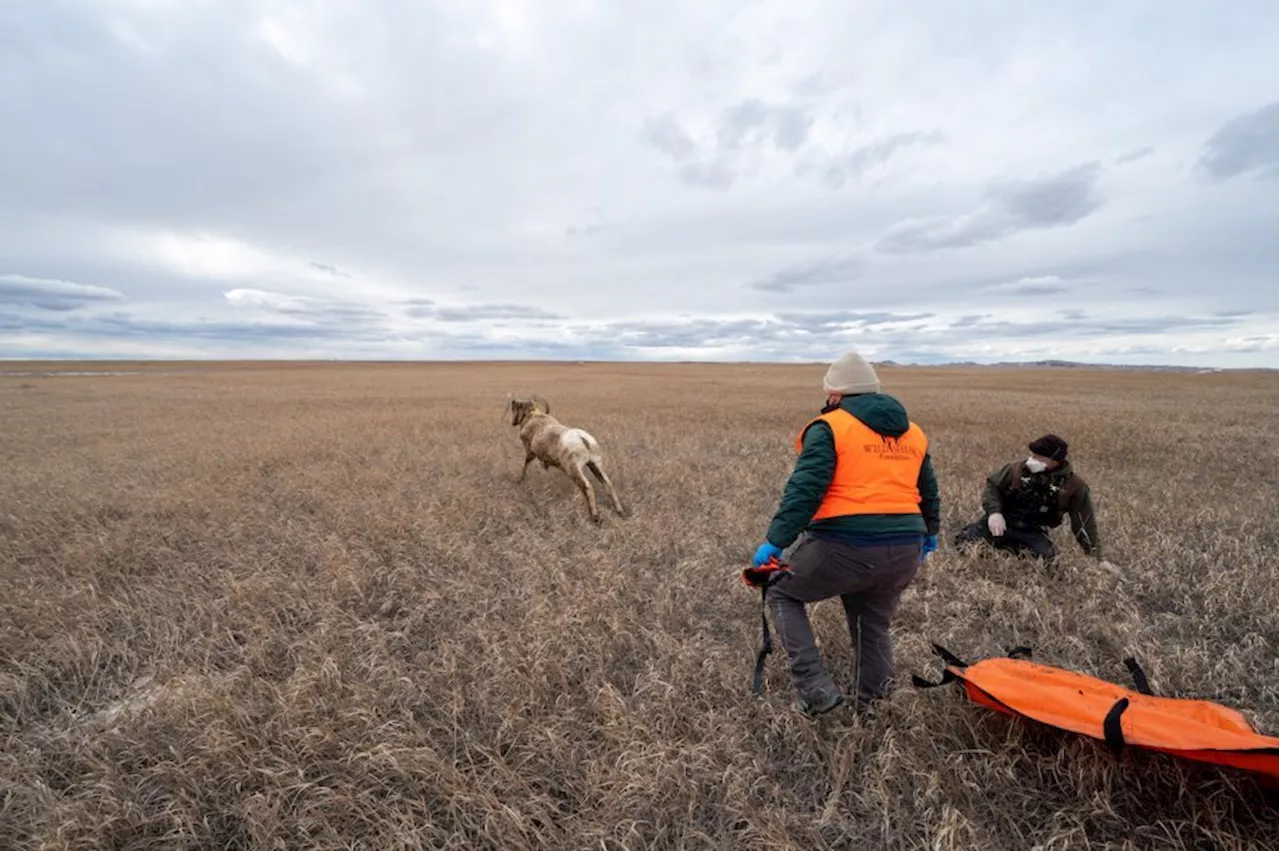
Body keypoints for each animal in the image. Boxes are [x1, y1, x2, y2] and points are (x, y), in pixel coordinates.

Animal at [509, 394, 629, 522]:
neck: (533, 418)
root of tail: (582, 438)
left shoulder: (530, 452)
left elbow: (526, 464)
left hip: (574, 469)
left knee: (587, 487)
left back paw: (595, 517)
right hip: (595, 465)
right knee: (608, 484)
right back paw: (620, 512)